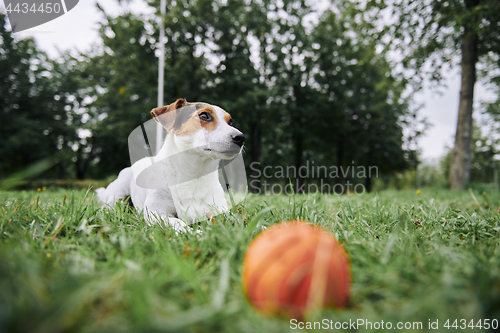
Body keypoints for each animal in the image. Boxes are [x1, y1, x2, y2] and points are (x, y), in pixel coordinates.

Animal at [94, 98, 245, 232]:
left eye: (230, 121)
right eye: (204, 115)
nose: (241, 138)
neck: (194, 174)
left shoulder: (219, 210)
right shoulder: (156, 213)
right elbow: (178, 222)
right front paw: (195, 234)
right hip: (117, 195)